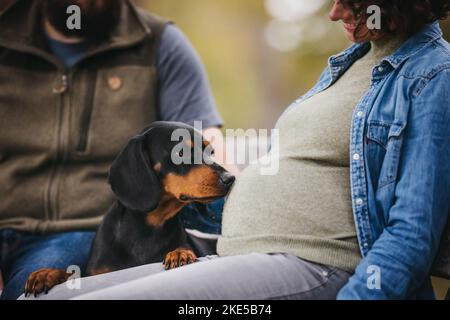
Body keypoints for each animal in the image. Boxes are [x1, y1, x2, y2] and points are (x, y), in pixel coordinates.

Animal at [23, 121, 236, 296]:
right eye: (180, 152)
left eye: (211, 153)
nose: (230, 179)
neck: (148, 229)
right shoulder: (96, 274)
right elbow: (73, 273)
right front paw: (47, 274)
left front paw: (179, 253)